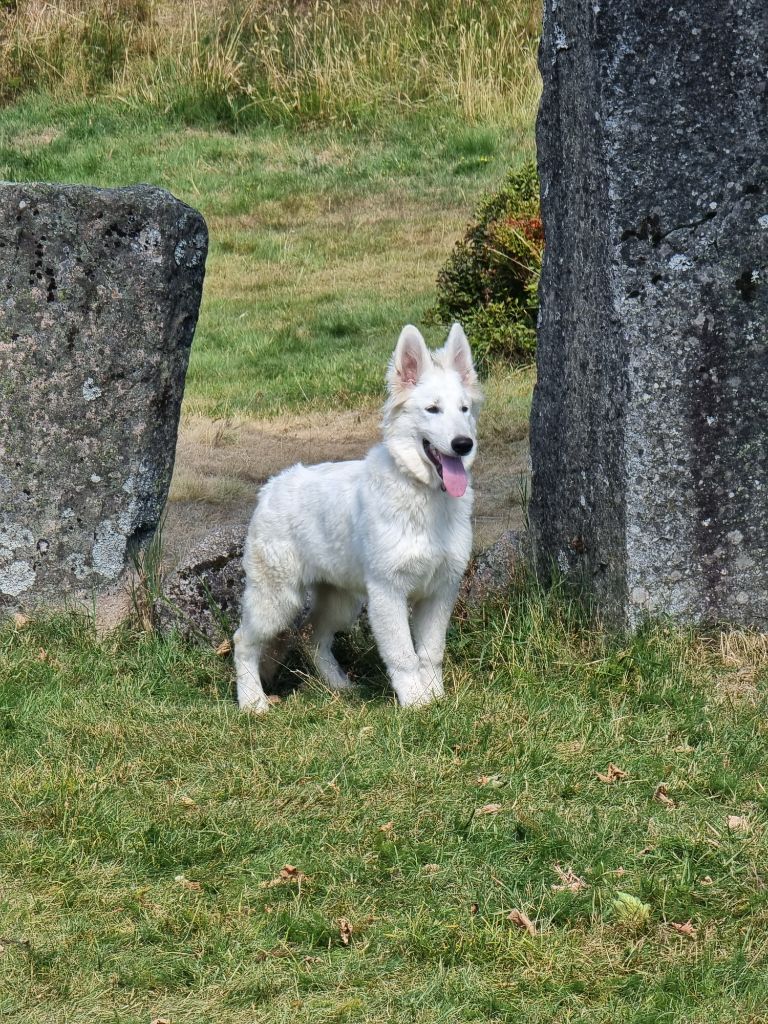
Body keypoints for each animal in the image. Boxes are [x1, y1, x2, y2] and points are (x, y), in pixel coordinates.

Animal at [234, 321, 481, 712]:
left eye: (464, 409)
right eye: (432, 410)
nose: (463, 444)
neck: (422, 495)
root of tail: (272, 485)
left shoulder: (440, 592)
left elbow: (430, 654)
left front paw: (436, 699)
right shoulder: (388, 592)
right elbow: (404, 656)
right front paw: (416, 704)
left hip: (342, 601)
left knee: (313, 638)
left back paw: (339, 686)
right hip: (277, 599)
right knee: (243, 641)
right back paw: (252, 703)